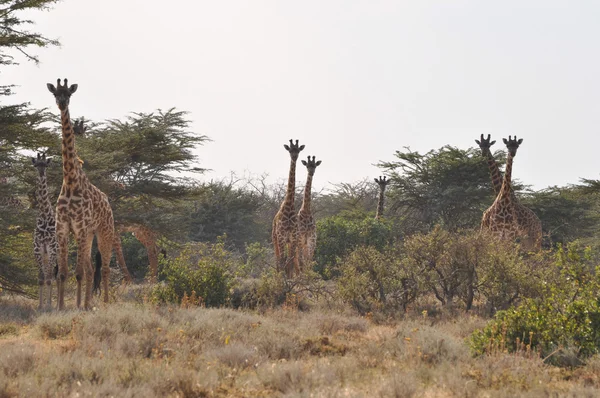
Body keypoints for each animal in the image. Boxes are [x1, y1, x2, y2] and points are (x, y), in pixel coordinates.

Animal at [47, 77, 116, 308]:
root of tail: (108, 204)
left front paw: (75, 306)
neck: (70, 180)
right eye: (55, 93)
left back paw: (104, 303)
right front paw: (60, 307)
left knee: (104, 268)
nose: (61, 103)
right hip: (89, 234)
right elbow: (62, 273)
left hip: (104, 232)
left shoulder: (79, 227)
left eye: (69, 93)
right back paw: (87, 304)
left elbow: (77, 273)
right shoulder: (63, 228)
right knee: (91, 269)